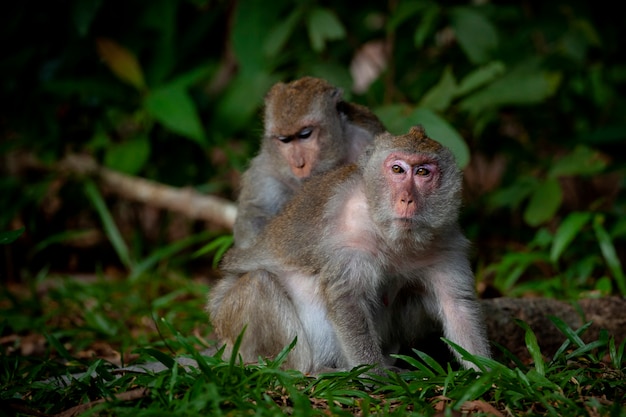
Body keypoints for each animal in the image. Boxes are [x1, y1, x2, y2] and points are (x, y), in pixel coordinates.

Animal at [207, 125, 490, 372]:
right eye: (397, 169)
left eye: (422, 172)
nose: (407, 199)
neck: (390, 234)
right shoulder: (349, 232)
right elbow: (348, 300)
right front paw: (377, 377)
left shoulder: (445, 240)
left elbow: (457, 306)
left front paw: (489, 375)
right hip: (230, 325)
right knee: (259, 283)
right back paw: (307, 371)